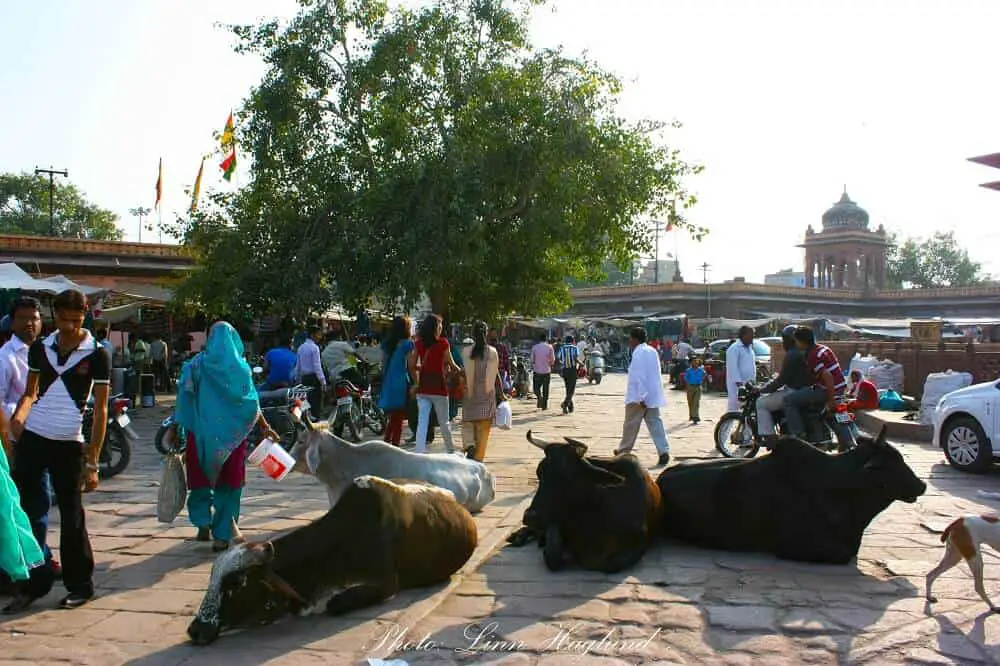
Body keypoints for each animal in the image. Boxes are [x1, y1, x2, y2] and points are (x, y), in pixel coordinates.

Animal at [508, 430, 664, 572]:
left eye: (569, 477)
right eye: (539, 473)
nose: (529, 517)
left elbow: (610, 565)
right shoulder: (555, 523)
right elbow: (552, 556)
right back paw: (518, 536)